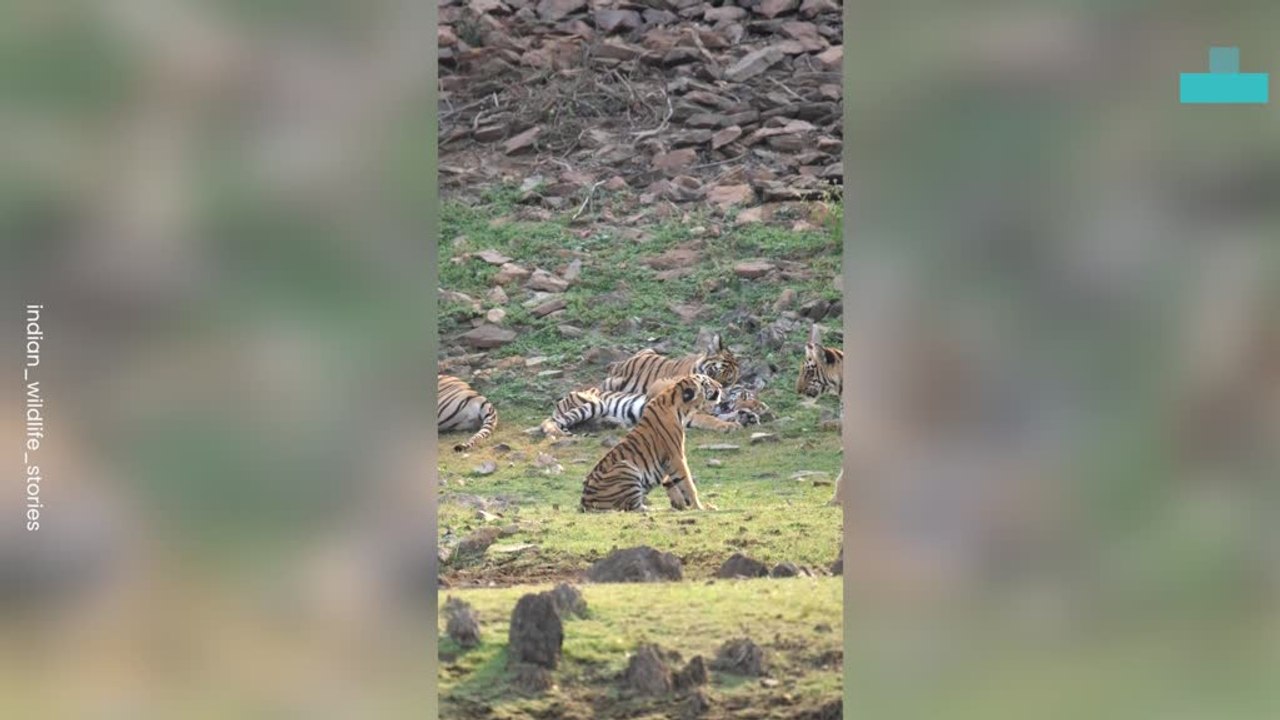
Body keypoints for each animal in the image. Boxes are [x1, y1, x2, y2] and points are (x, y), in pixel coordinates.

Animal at [579, 374, 723, 512]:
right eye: (707, 382)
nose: (721, 386)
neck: (681, 406)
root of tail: (584, 501)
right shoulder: (676, 455)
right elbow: (687, 483)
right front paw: (699, 507)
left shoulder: (668, 461)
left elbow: (671, 482)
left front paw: (680, 504)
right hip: (626, 468)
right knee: (633, 507)